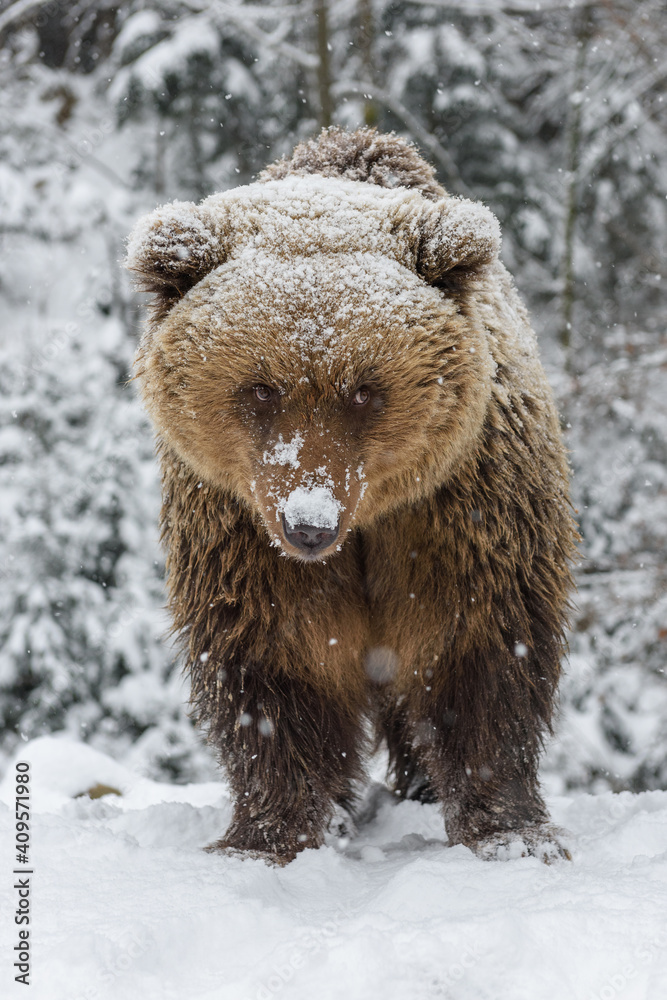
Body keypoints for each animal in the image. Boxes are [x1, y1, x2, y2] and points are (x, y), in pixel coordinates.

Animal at [126, 127, 577, 864]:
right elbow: (274, 666)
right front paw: (264, 837)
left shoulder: (456, 512)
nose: (309, 524)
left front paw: (510, 833)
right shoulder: (243, 531)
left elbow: (480, 649)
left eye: (365, 389)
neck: (368, 520)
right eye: (260, 388)